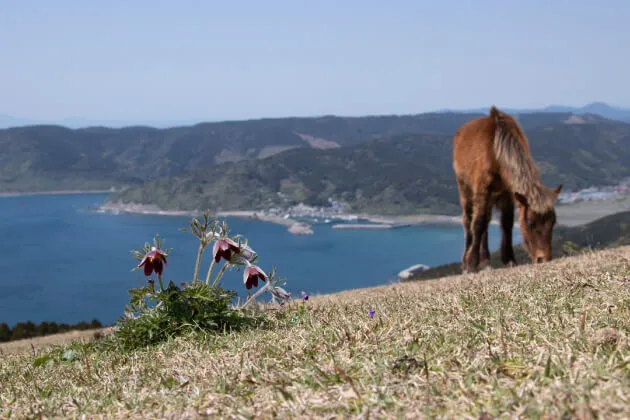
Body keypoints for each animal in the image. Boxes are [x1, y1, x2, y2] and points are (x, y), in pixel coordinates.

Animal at [452, 106, 564, 274]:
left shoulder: (507, 193)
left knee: (487, 222)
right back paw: (466, 261)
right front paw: (471, 264)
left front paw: (509, 259)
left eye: (553, 222)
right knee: (469, 220)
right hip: (465, 189)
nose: (543, 259)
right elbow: (478, 223)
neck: (496, 151)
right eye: (531, 224)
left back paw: (486, 261)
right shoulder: (482, 189)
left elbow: (507, 223)